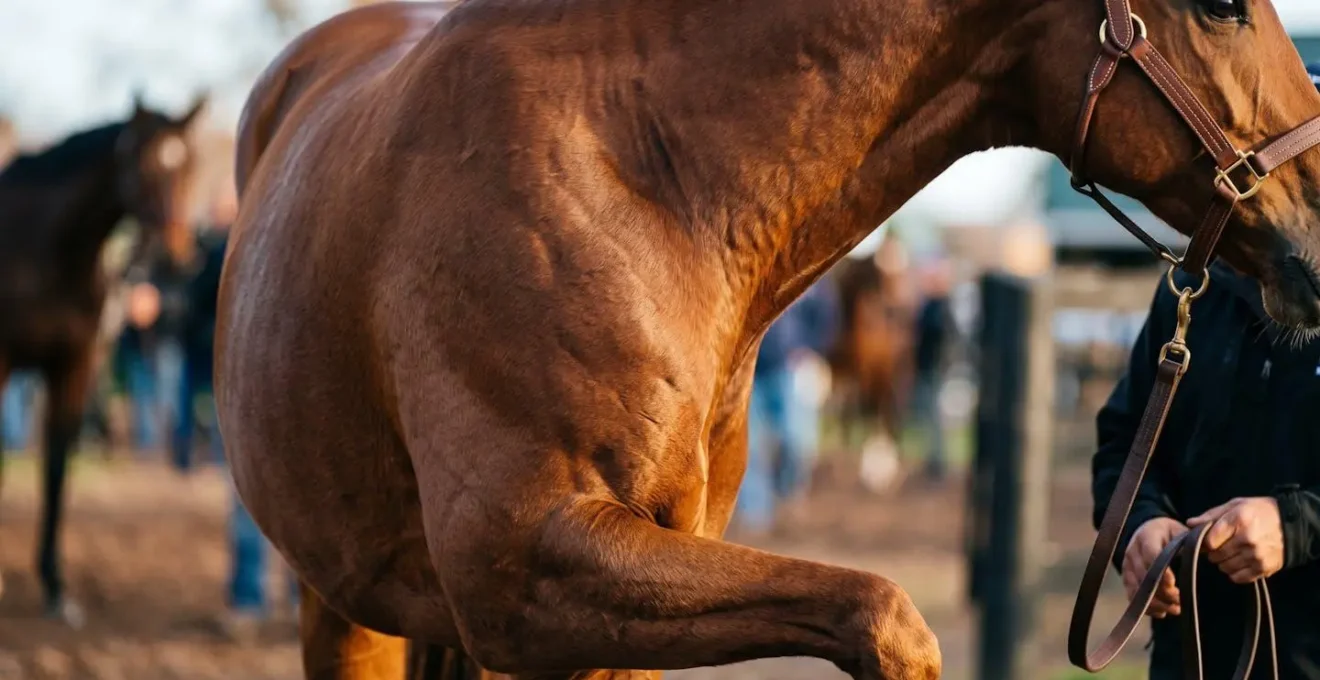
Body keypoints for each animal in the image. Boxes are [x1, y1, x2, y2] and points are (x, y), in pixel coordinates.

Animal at [0, 94, 206, 625]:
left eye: (188, 165)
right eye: (146, 163)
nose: (175, 258)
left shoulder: (75, 365)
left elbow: (56, 466)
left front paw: (56, 587)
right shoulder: (3, 363)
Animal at [216, 0, 1320, 678]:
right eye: (1223, 4)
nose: (1319, 227)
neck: (643, 179)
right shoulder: (526, 574)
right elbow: (886, 616)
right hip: (346, 603)